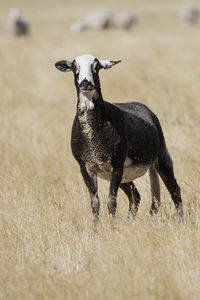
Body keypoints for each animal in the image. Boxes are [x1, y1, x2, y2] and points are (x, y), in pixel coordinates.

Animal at [54, 54, 183, 220]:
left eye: (97, 67)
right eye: (75, 67)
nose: (86, 83)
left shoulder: (116, 163)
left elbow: (111, 202)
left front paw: (112, 226)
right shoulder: (86, 166)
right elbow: (95, 203)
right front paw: (96, 227)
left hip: (161, 157)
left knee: (175, 190)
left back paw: (182, 221)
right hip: (125, 175)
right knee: (136, 196)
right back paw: (130, 221)